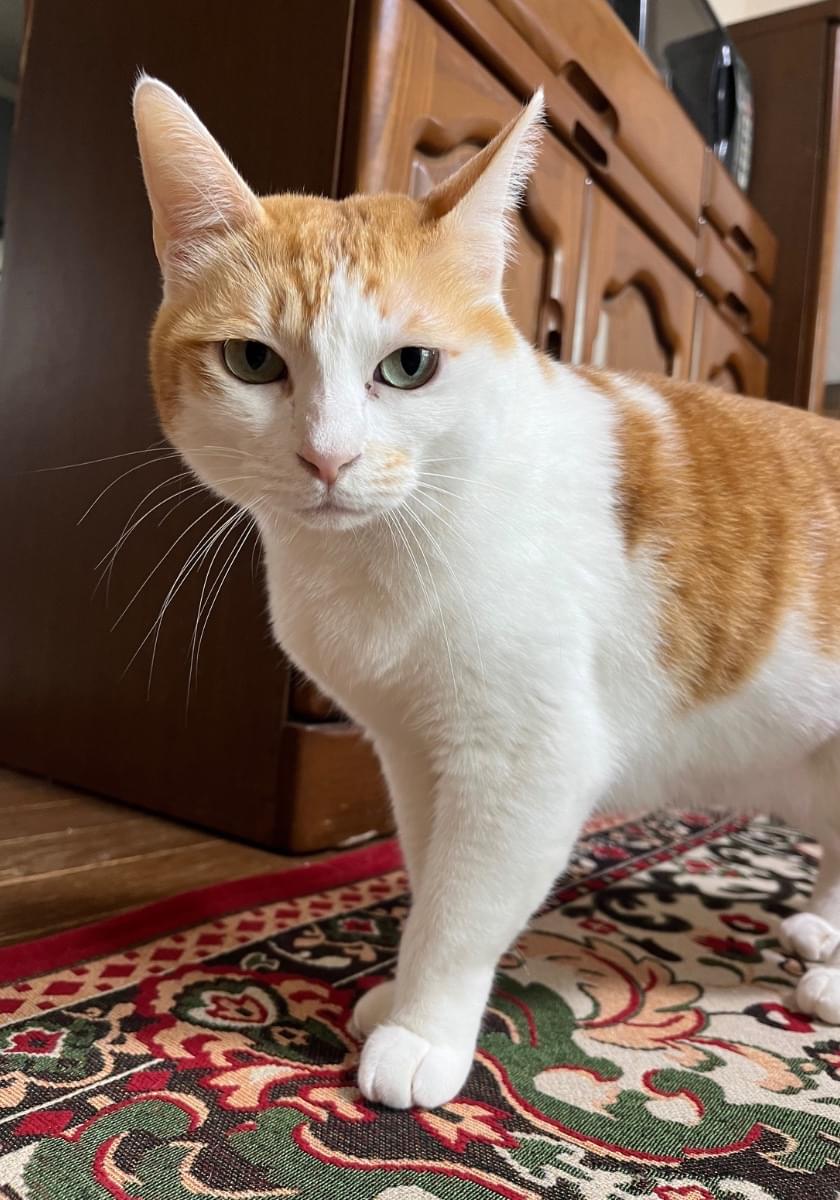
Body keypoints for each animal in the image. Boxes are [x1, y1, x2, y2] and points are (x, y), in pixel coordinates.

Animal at [133, 75, 840, 1111]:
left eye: (409, 366)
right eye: (253, 361)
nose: (328, 457)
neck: (384, 558)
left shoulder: (525, 762)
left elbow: (464, 908)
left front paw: (424, 1030)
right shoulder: (411, 749)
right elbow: (430, 871)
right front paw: (399, 996)